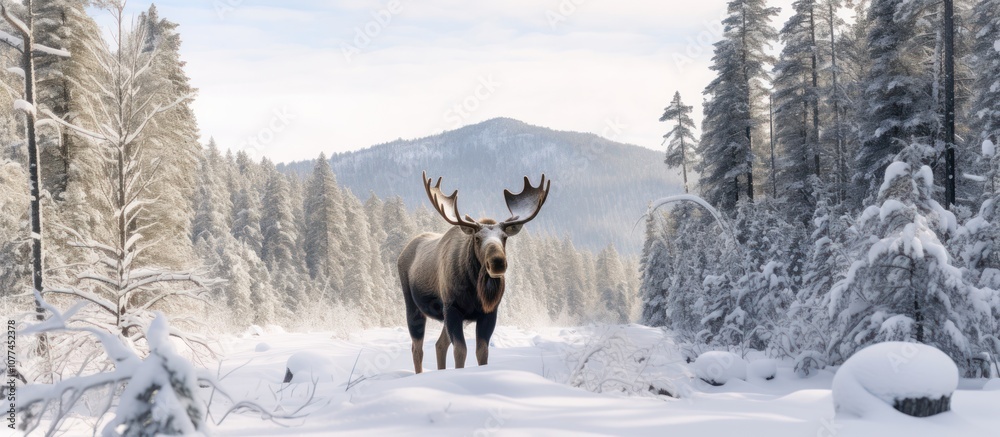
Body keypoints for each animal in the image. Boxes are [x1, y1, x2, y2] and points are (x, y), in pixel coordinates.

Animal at [397, 172, 550, 374]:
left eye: (504, 237)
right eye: (477, 238)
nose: (497, 262)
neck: (474, 291)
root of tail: (403, 252)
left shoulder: (489, 312)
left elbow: (482, 351)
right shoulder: (452, 308)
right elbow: (460, 351)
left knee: (439, 344)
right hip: (413, 306)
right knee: (417, 348)